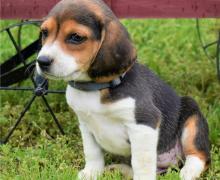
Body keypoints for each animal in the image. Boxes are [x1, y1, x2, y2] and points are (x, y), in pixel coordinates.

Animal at [35, 0, 210, 179]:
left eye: (76, 37)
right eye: (44, 32)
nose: (42, 61)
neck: (95, 88)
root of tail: (172, 163)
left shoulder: (144, 123)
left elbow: (141, 163)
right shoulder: (85, 124)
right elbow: (92, 152)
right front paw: (92, 173)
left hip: (192, 117)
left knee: (199, 156)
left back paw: (188, 171)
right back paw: (119, 169)